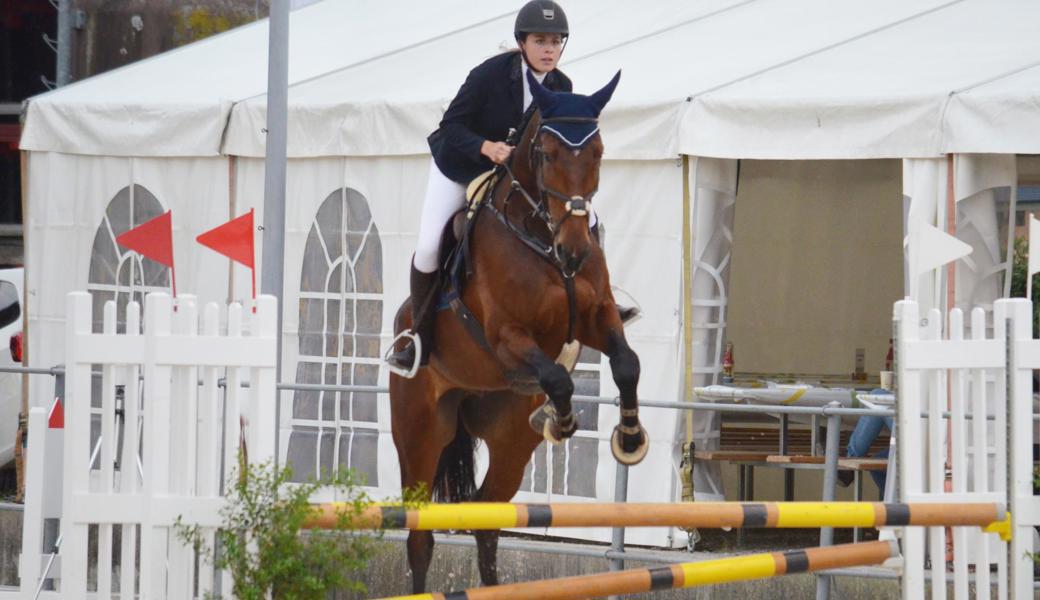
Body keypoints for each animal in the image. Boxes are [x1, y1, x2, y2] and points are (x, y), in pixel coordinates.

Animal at [391, 69, 648, 590]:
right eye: (546, 155)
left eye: (598, 153)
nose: (574, 252)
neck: (543, 237)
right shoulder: (507, 337)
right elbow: (557, 376)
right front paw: (561, 420)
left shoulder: (596, 318)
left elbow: (626, 364)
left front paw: (630, 438)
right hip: (419, 431)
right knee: (419, 535)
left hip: (507, 436)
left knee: (486, 519)